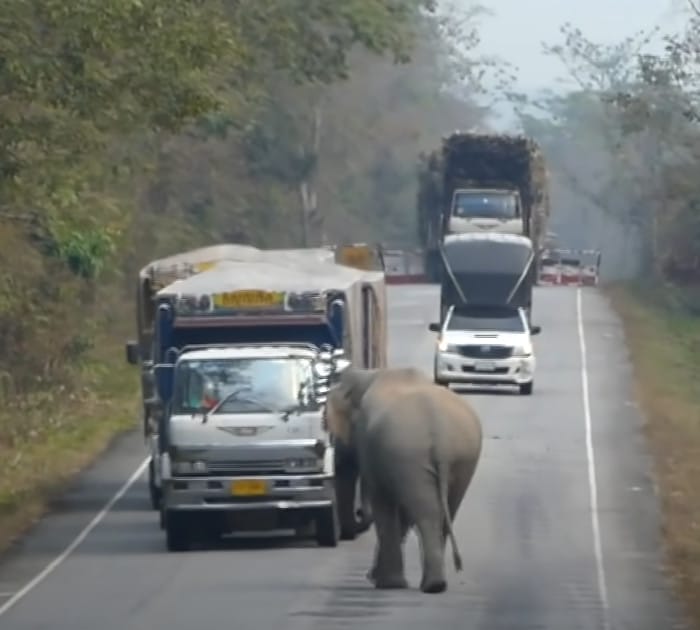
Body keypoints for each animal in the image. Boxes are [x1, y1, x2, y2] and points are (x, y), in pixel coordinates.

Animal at [324, 368, 482, 596]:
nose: (359, 513)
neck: (370, 375)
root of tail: (440, 435)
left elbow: (384, 504)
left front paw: (385, 583)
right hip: (461, 458)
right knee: (445, 512)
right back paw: (435, 585)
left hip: (407, 451)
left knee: (426, 513)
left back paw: (428, 585)